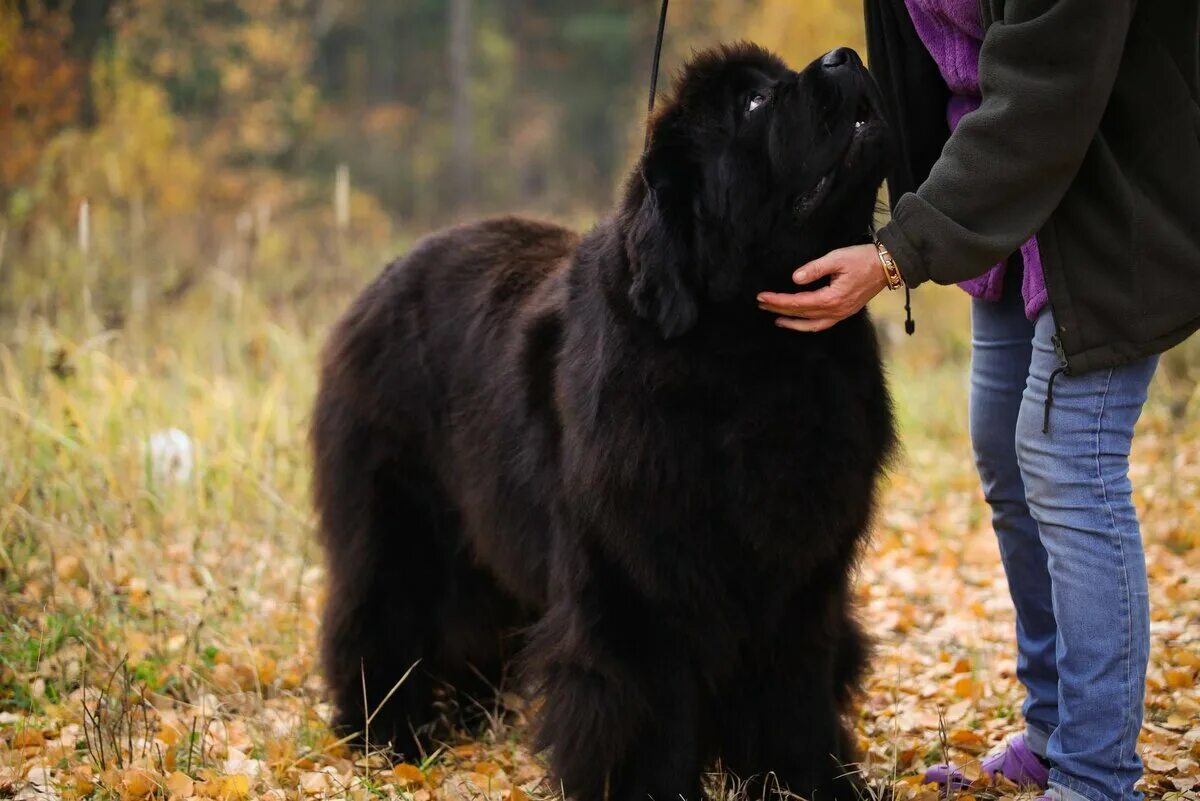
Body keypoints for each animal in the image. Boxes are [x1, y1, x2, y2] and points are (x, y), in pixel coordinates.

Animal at [314, 43, 897, 801]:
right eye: (754, 103)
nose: (845, 54)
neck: (756, 357)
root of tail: (380, 281)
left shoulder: (799, 576)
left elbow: (794, 698)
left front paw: (813, 785)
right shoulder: (636, 578)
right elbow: (648, 706)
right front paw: (650, 789)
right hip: (396, 521)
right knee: (375, 618)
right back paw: (389, 740)